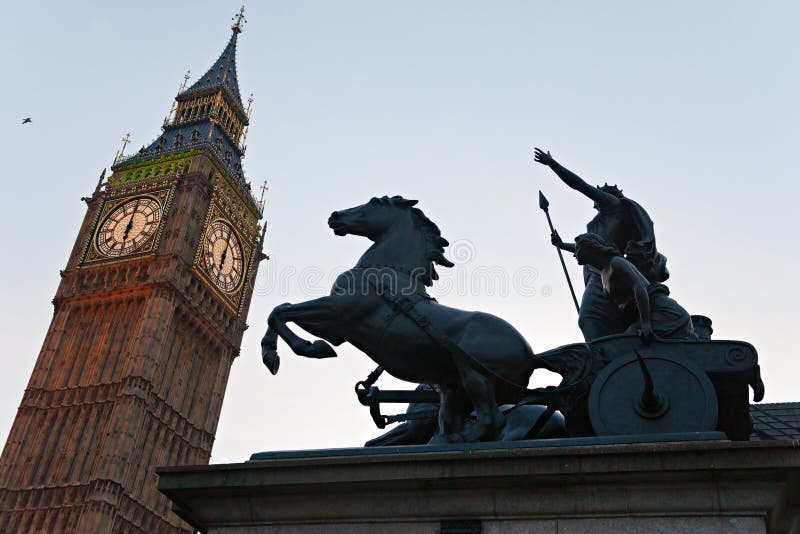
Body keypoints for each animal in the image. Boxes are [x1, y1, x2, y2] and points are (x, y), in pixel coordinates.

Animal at [262, 197, 536, 444]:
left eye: (373, 201)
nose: (335, 216)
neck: (386, 273)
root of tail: (530, 355)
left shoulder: (338, 310)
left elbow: (279, 312)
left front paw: (292, 352)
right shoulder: (337, 330)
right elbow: (283, 311)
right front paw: (309, 348)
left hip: (475, 375)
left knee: (492, 419)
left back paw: (453, 440)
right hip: (454, 388)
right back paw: (446, 439)